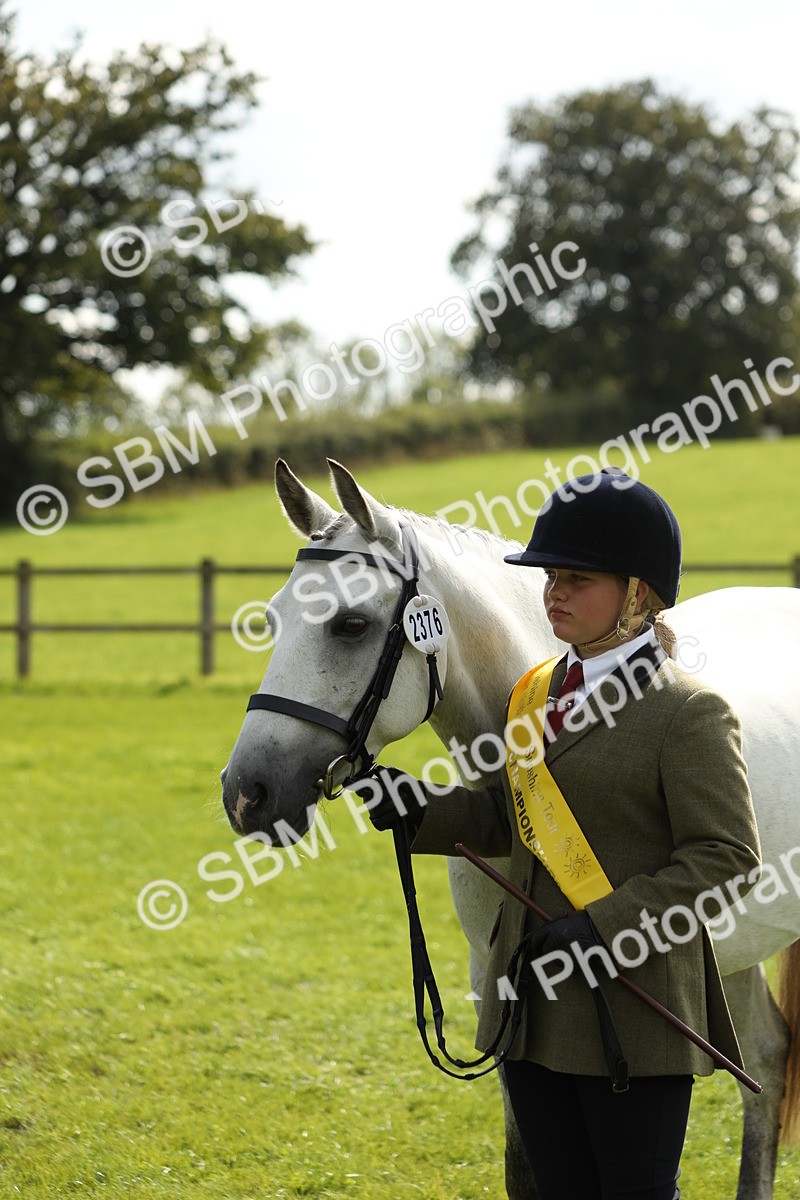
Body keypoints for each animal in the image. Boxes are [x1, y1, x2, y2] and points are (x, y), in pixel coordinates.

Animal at [220, 457, 800, 1200]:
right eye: (272, 617)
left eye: (349, 625)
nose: (247, 793)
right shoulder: (498, 987)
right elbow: (526, 1166)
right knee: (767, 1059)